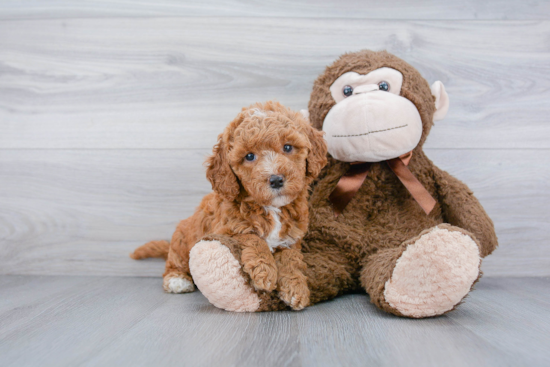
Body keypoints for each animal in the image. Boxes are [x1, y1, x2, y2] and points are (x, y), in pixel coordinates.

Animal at [130, 100, 328, 310]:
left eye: (288, 147)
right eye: (249, 156)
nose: (275, 180)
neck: (271, 208)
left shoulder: (290, 239)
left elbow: (292, 260)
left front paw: (296, 288)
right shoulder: (226, 229)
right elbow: (252, 237)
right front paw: (265, 271)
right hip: (182, 241)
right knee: (174, 263)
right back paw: (177, 280)